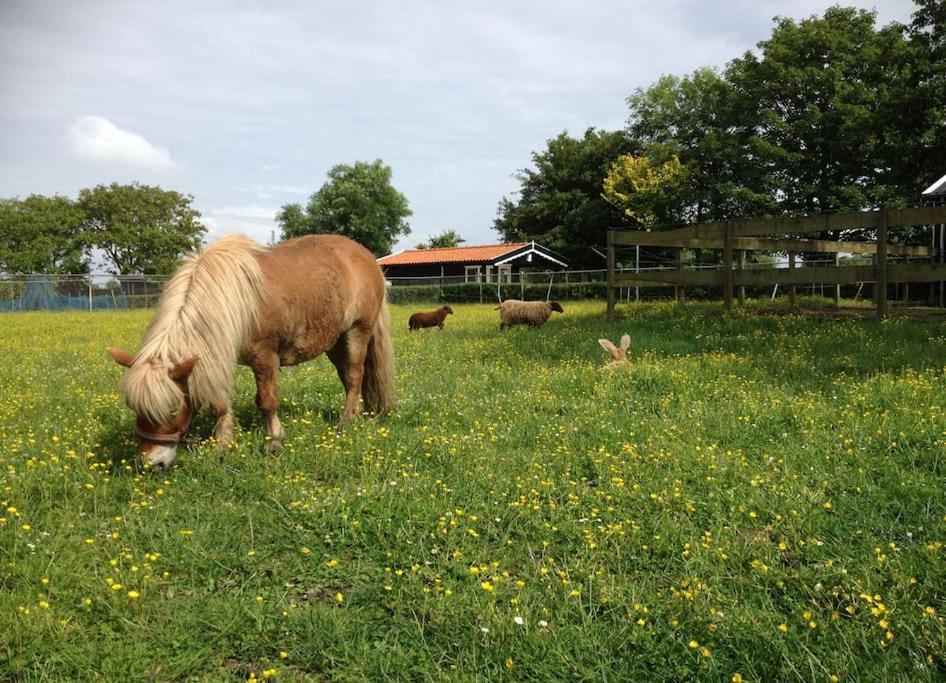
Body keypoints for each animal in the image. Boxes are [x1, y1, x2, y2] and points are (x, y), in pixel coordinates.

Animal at [108, 235, 394, 470]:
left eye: (170, 410)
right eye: (135, 408)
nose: (151, 463)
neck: (233, 298)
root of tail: (367, 257)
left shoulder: (264, 357)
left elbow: (267, 401)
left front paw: (274, 441)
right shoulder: (216, 354)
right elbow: (219, 405)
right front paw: (222, 445)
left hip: (357, 331)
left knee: (355, 376)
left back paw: (346, 422)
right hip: (334, 341)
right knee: (348, 378)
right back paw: (357, 413)